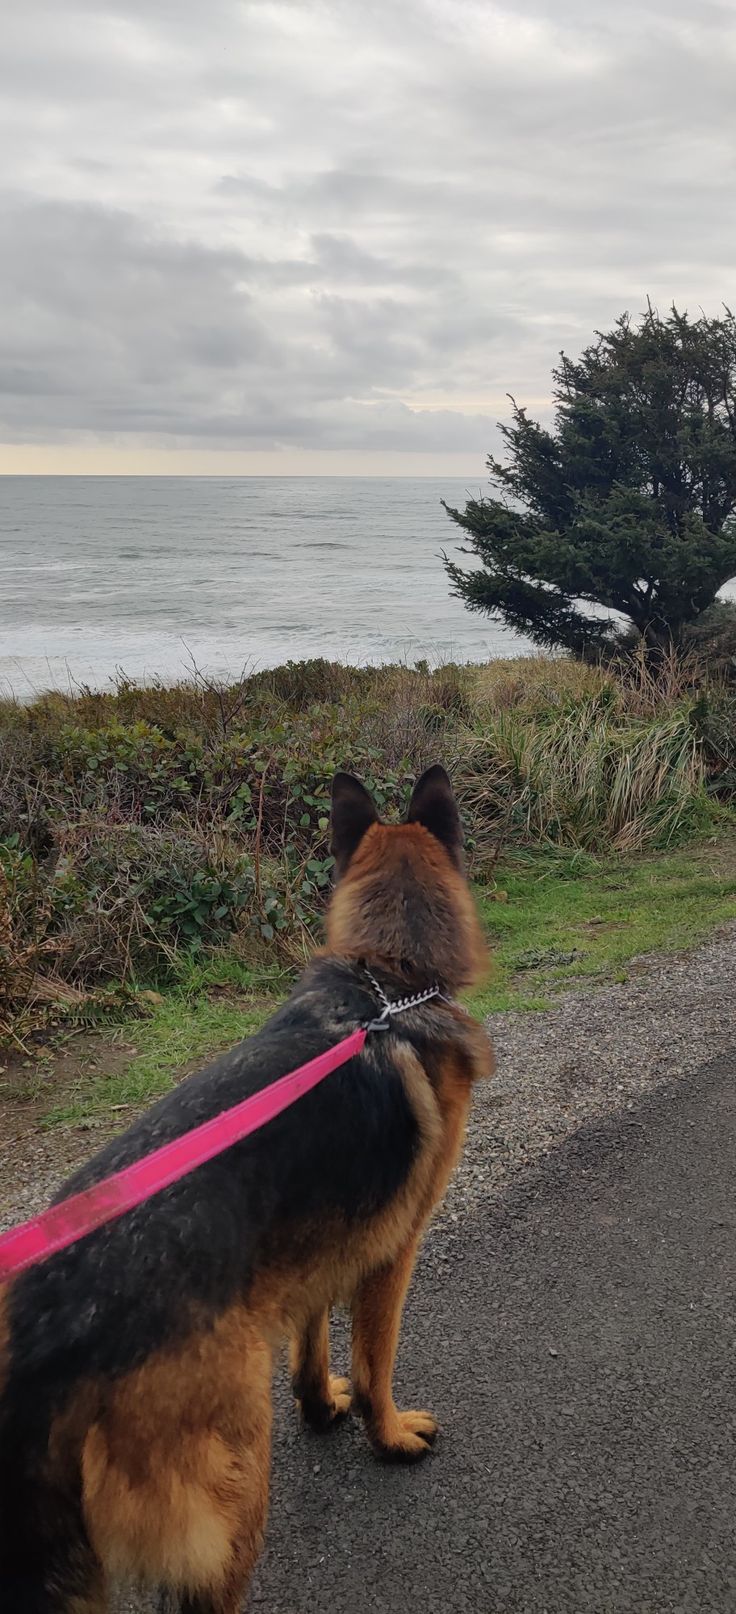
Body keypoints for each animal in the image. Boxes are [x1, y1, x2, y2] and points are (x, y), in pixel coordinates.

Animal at [1, 765, 493, 1614]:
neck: (384, 985)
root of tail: (43, 1339)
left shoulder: (317, 1249)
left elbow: (311, 1342)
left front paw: (320, 1407)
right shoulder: (392, 1254)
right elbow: (376, 1365)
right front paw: (389, 1436)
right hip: (234, 1484)